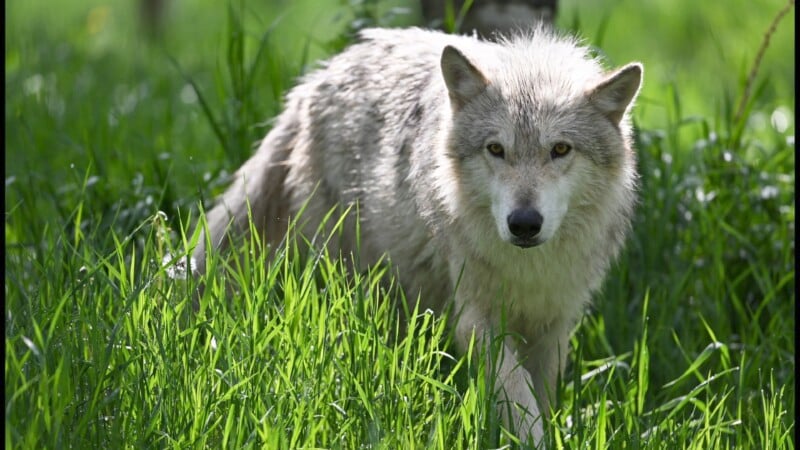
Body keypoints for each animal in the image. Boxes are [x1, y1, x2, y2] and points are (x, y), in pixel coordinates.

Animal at [193, 26, 642, 445]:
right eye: (495, 149)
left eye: (560, 150)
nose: (524, 223)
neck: (529, 268)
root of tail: (316, 79)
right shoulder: (475, 319)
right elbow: (518, 395)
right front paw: (532, 440)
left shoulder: (553, 326)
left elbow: (541, 397)